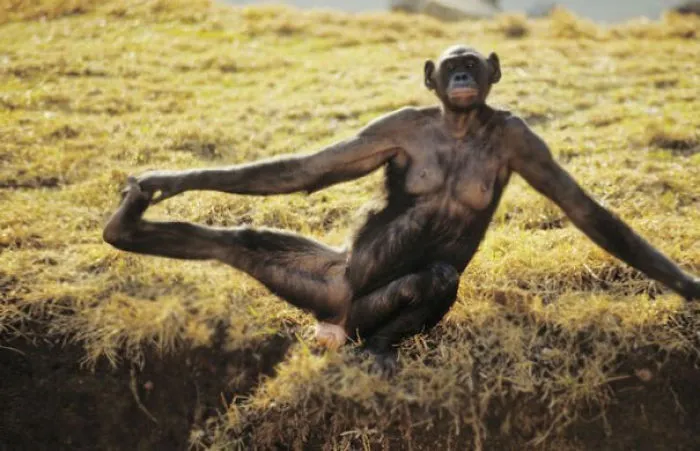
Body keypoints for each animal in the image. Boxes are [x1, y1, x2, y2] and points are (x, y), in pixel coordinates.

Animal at [104, 45, 700, 374]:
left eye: (471, 64)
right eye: (454, 66)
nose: (461, 77)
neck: (458, 126)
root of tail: (334, 323)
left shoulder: (524, 140)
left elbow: (584, 210)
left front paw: (686, 286)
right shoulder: (391, 129)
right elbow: (312, 170)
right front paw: (171, 180)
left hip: (341, 303)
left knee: (431, 277)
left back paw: (380, 348)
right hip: (324, 280)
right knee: (242, 243)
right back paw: (126, 225)